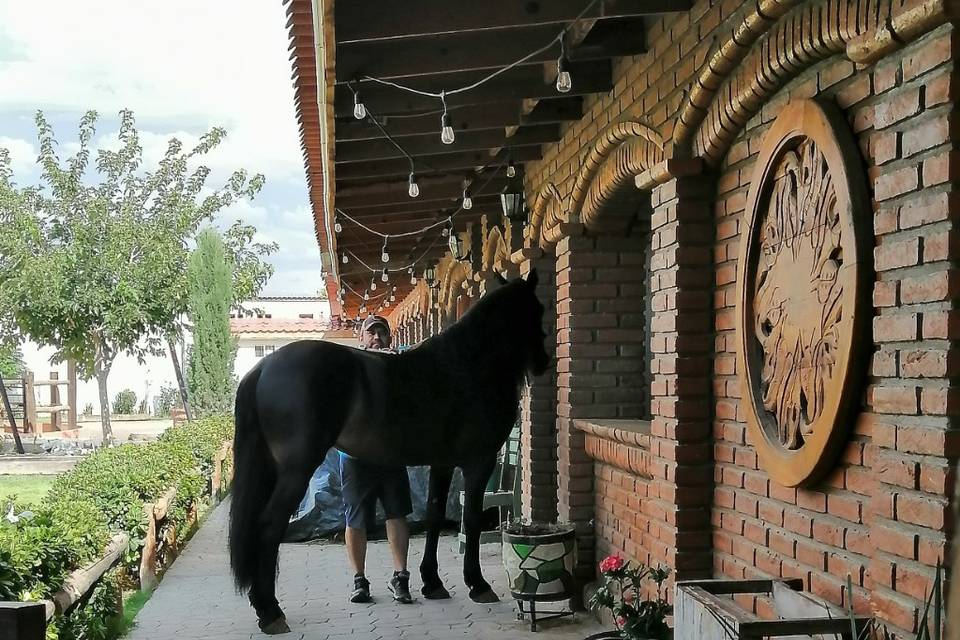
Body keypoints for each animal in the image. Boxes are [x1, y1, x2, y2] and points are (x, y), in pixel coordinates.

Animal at [228, 268, 552, 632]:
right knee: (269, 526)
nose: (543, 363)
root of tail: (262, 368)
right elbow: (470, 520)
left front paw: (432, 582)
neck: (467, 366)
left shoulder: (442, 464)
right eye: (536, 309)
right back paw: (270, 611)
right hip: (296, 470)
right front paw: (477, 584)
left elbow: (435, 515)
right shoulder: (477, 463)